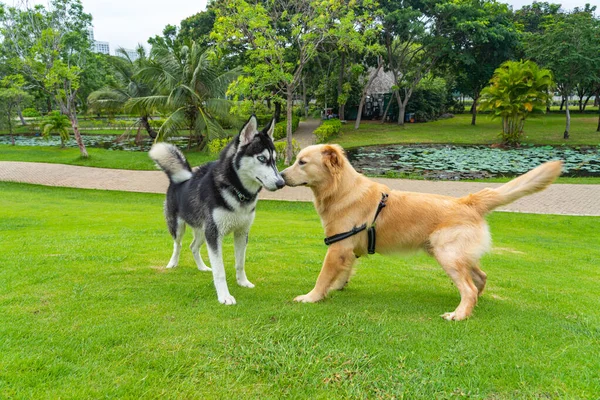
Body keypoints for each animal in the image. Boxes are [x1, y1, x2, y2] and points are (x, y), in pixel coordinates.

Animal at [148, 117, 284, 304]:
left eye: (275, 160)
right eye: (262, 158)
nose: (281, 183)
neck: (237, 190)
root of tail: (178, 179)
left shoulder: (241, 232)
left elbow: (240, 263)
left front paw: (243, 282)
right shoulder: (213, 234)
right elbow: (220, 271)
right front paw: (224, 296)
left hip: (202, 231)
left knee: (193, 246)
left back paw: (203, 267)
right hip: (179, 227)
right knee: (178, 244)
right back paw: (172, 263)